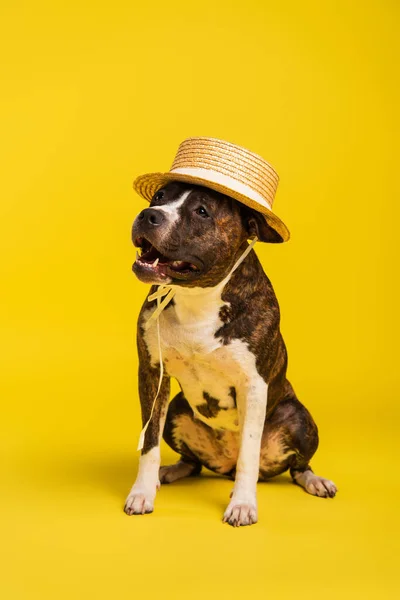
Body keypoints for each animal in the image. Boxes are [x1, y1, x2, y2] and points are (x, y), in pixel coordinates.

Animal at [123, 179, 336, 524]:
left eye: (202, 211)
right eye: (159, 197)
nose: (148, 215)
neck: (198, 297)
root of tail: (225, 466)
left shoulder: (254, 385)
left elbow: (249, 452)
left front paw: (243, 505)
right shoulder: (153, 374)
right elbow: (149, 443)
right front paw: (142, 491)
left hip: (299, 420)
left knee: (296, 467)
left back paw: (314, 480)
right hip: (177, 410)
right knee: (193, 463)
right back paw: (168, 473)